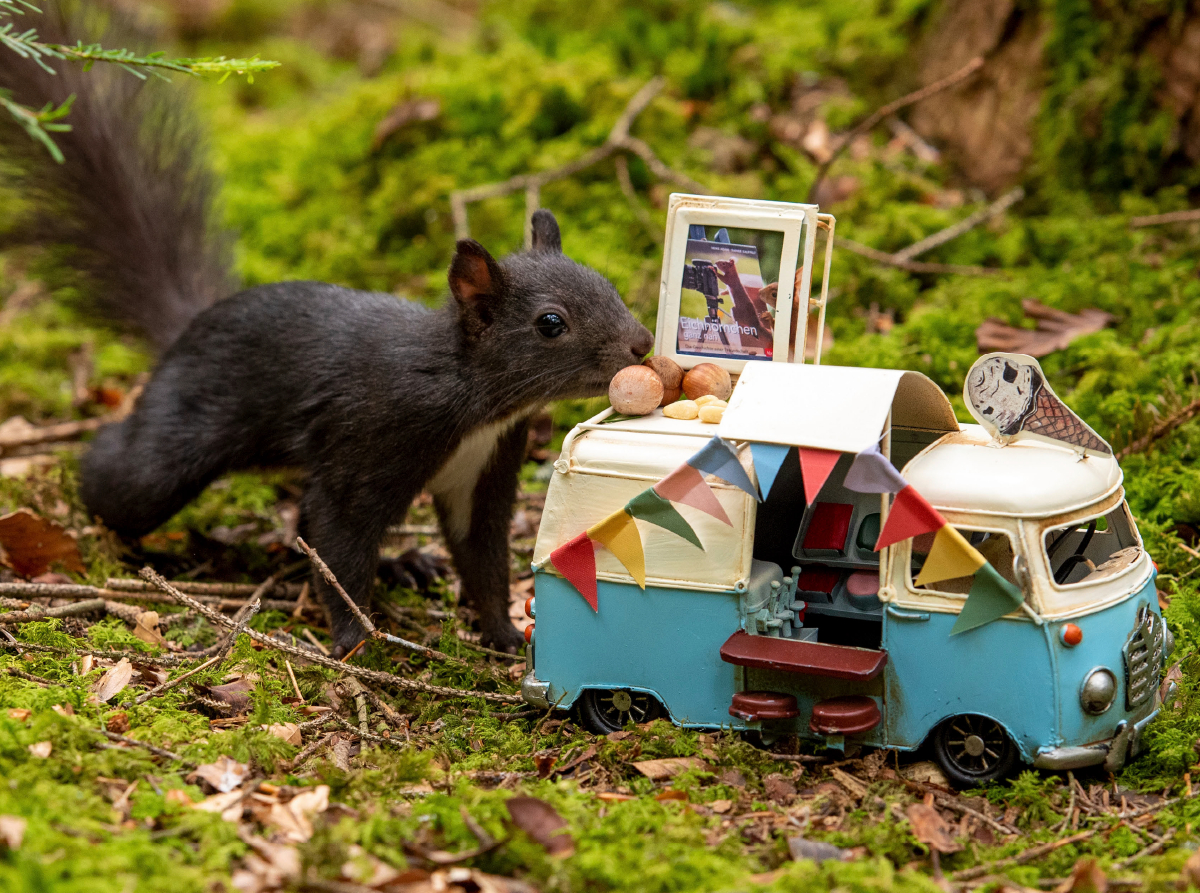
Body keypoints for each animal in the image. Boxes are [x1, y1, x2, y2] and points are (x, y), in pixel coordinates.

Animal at [0, 3, 652, 652]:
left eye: (607, 283)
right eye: (551, 323)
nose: (642, 344)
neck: (468, 394)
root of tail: (192, 324)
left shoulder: (484, 468)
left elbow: (481, 557)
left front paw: (504, 634)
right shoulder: (371, 437)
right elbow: (340, 536)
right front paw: (355, 639)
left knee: (298, 520)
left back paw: (404, 564)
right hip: (175, 443)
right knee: (124, 475)